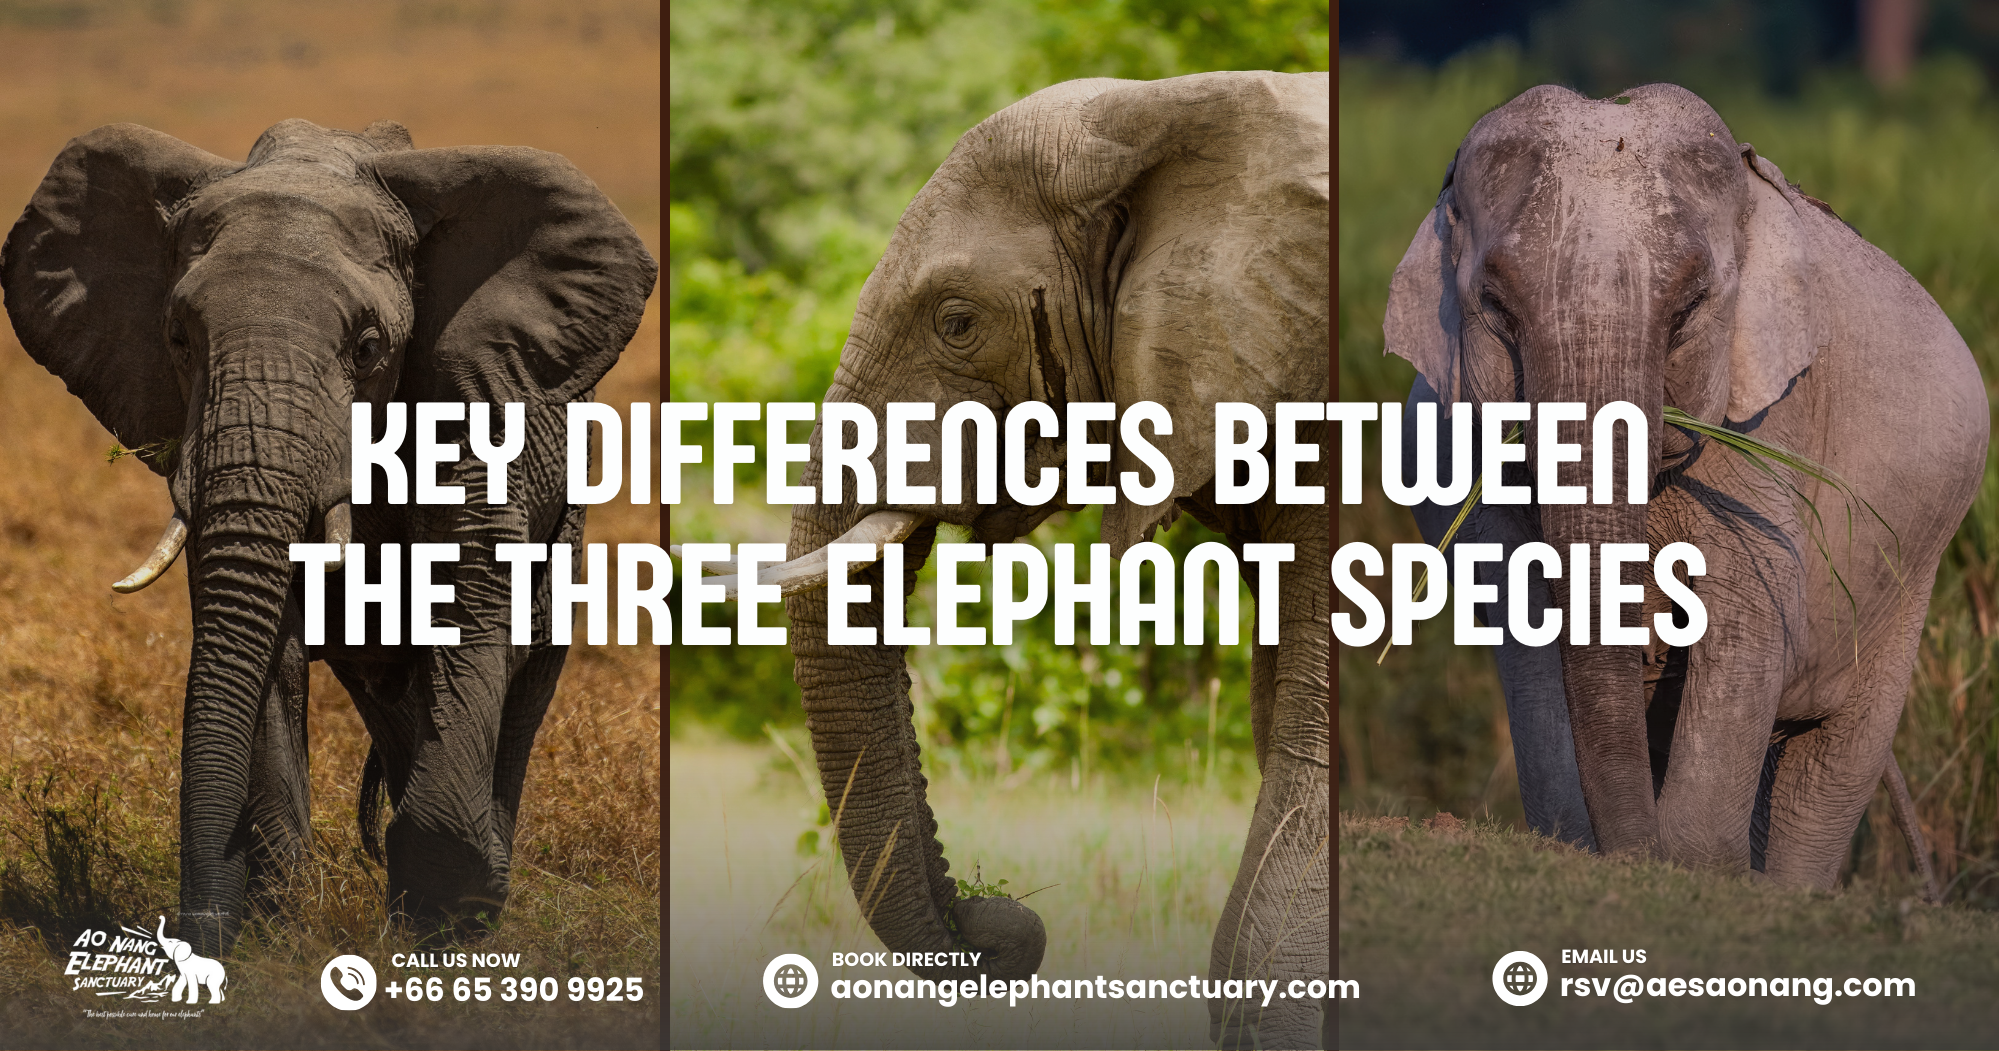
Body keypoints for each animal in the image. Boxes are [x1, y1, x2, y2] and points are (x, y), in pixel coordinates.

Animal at [1, 119, 657, 956]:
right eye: (177, 339)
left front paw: (445, 919)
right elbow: (267, 645)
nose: (198, 931)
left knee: (523, 668)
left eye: (368, 348)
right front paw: (282, 930)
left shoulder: (476, 396)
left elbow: (475, 591)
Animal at [1383, 83, 1987, 890]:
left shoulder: (1769, 422)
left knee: (1834, 758)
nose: (1629, 858)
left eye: (1689, 308)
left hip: (1911, 576)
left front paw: (1691, 866)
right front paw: (1588, 843)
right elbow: (1524, 620)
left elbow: (1749, 613)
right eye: (1498, 307)